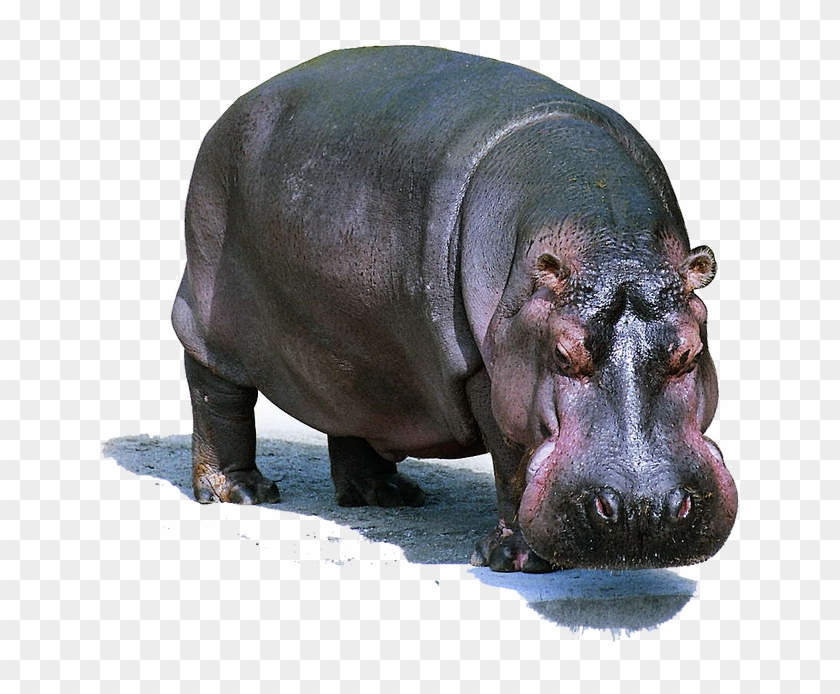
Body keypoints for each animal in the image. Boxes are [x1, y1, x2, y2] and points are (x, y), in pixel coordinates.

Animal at [172, 45, 737, 572]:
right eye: (561, 354)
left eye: (690, 352)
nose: (644, 511)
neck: (609, 246)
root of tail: (234, 108)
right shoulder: (486, 372)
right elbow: (511, 458)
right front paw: (518, 560)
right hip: (209, 314)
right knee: (216, 392)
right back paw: (239, 492)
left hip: (354, 339)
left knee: (351, 402)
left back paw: (389, 495)